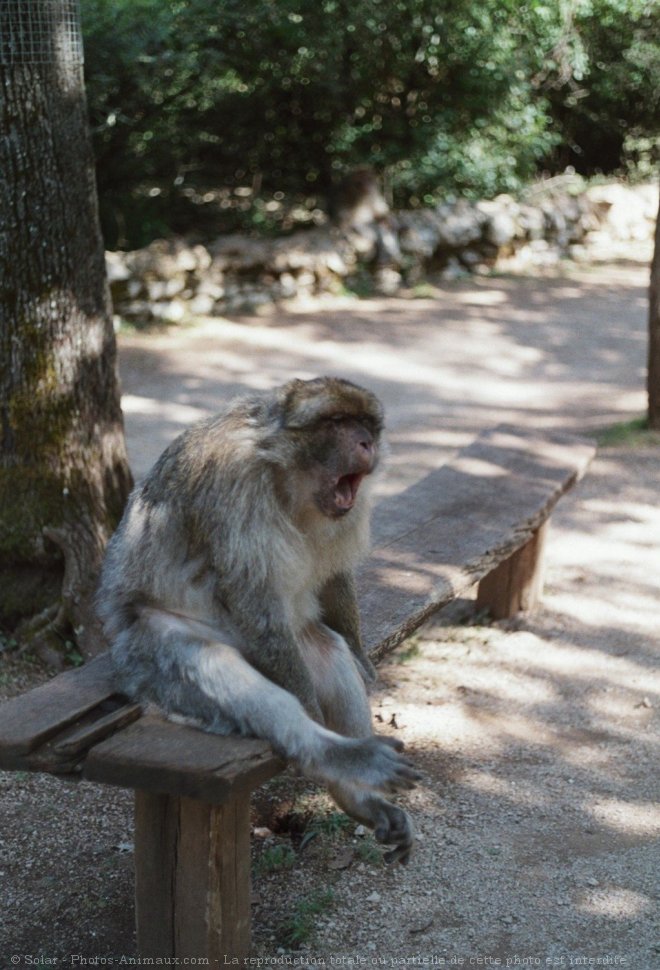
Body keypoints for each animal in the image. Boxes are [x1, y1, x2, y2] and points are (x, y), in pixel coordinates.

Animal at [96, 376, 418, 864]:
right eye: (337, 422)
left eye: (365, 424)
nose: (365, 443)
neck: (282, 472)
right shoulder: (231, 484)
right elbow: (251, 594)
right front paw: (310, 714)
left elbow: (333, 575)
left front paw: (360, 652)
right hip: (143, 653)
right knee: (216, 666)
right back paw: (332, 755)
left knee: (324, 649)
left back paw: (355, 796)